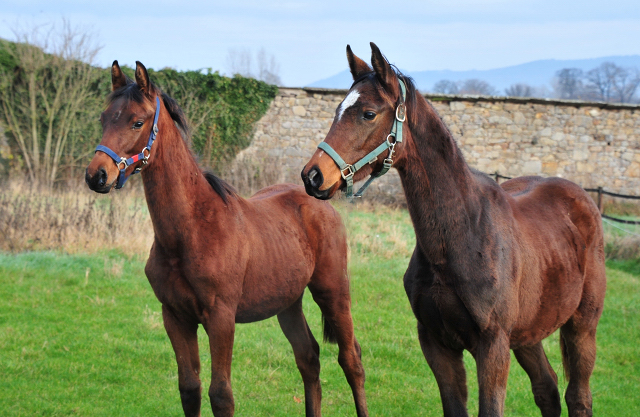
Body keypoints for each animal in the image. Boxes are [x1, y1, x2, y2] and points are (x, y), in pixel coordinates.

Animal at [84, 61, 370, 416]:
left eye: (137, 121)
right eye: (104, 118)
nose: (97, 175)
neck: (191, 230)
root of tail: (322, 201)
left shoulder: (221, 319)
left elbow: (221, 395)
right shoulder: (175, 316)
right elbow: (189, 389)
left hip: (333, 293)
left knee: (351, 359)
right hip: (288, 302)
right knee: (308, 357)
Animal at [302, 44, 604, 414]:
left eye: (368, 114)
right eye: (338, 110)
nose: (313, 176)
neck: (458, 238)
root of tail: (581, 197)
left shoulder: (492, 346)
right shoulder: (437, 343)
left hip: (582, 325)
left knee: (578, 395)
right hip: (527, 334)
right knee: (546, 388)